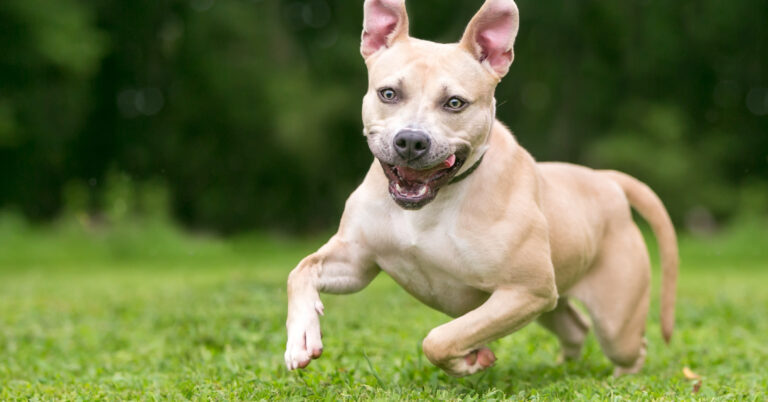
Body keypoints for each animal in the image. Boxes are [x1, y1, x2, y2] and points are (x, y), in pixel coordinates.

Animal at [284, 0, 680, 376]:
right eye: (389, 93)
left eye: (454, 103)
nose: (411, 141)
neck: (435, 202)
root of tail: (605, 179)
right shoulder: (356, 261)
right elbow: (300, 270)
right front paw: (301, 336)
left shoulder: (525, 292)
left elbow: (440, 339)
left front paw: (470, 360)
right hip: (554, 304)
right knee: (575, 328)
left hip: (612, 322)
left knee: (630, 347)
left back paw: (619, 377)